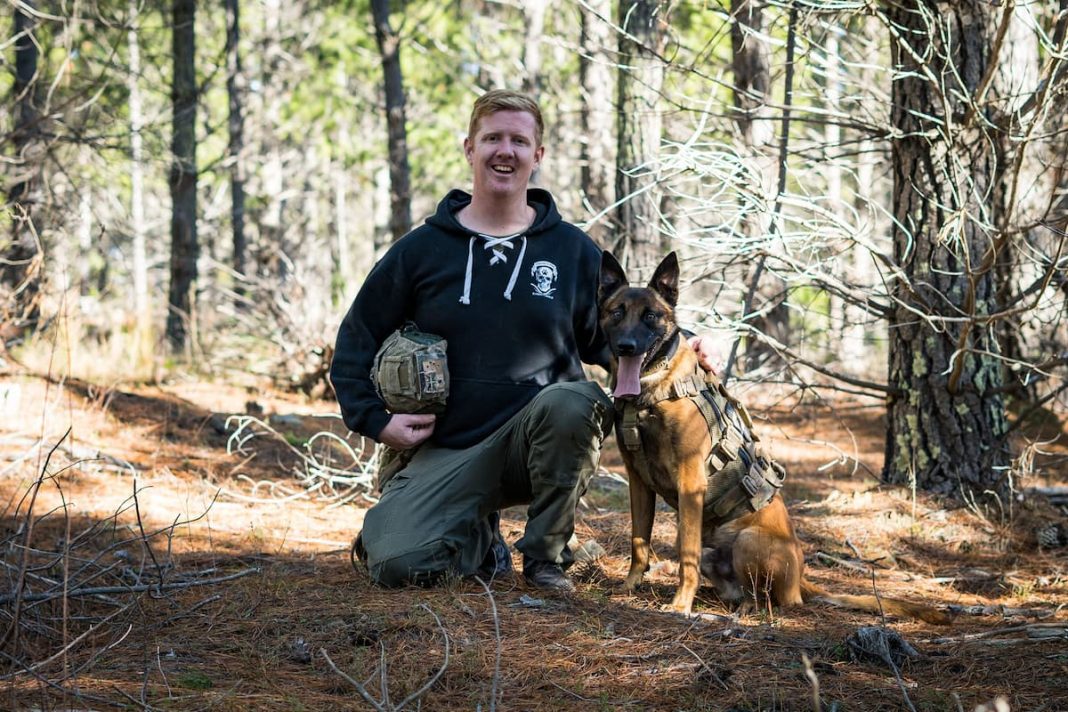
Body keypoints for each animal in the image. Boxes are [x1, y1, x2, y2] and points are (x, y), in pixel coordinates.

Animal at [598, 249, 956, 623]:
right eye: (616, 312)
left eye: (650, 316)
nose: (626, 346)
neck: (652, 392)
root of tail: (801, 579)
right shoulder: (638, 480)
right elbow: (639, 542)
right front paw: (629, 587)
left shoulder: (690, 482)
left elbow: (687, 556)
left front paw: (681, 604)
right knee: (740, 588)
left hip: (747, 540)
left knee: (772, 600)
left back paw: (744, 611)